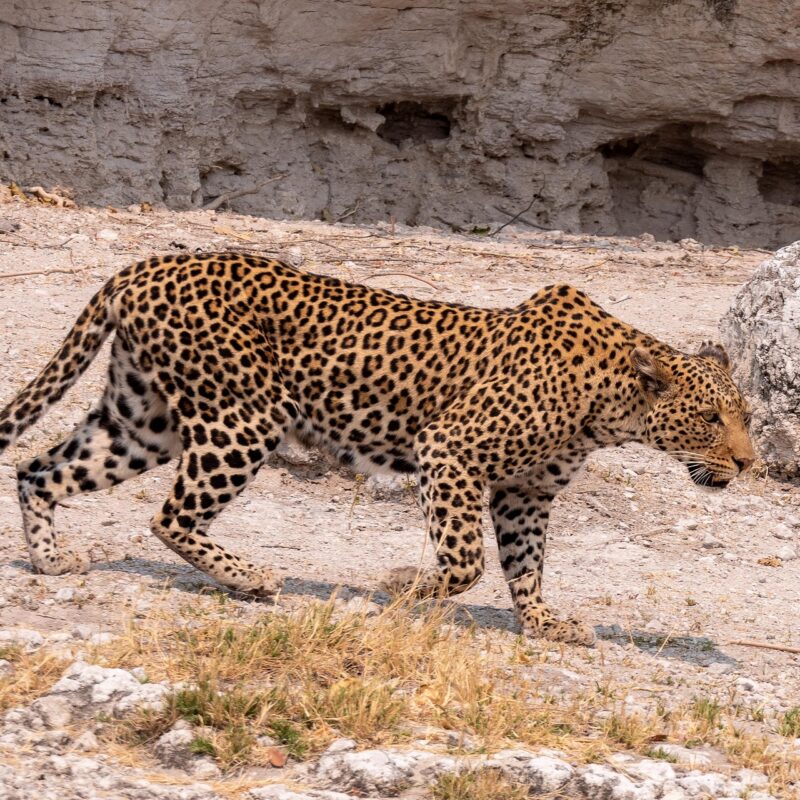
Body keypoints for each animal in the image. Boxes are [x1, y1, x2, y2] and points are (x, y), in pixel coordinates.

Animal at [0, 252, 756, 645]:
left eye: (744, 417)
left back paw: (51, 560)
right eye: (711, 418)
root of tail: (146, 264)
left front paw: (544, 622)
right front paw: (401, 586)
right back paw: (251, 578)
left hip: (142, 422)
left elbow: (526, 564)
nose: (750, 463)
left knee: (38, 469)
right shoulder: (450, 448)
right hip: (246, 418)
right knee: (168, 516)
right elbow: (466, 558)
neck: (614, 403)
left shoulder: (526, 491)